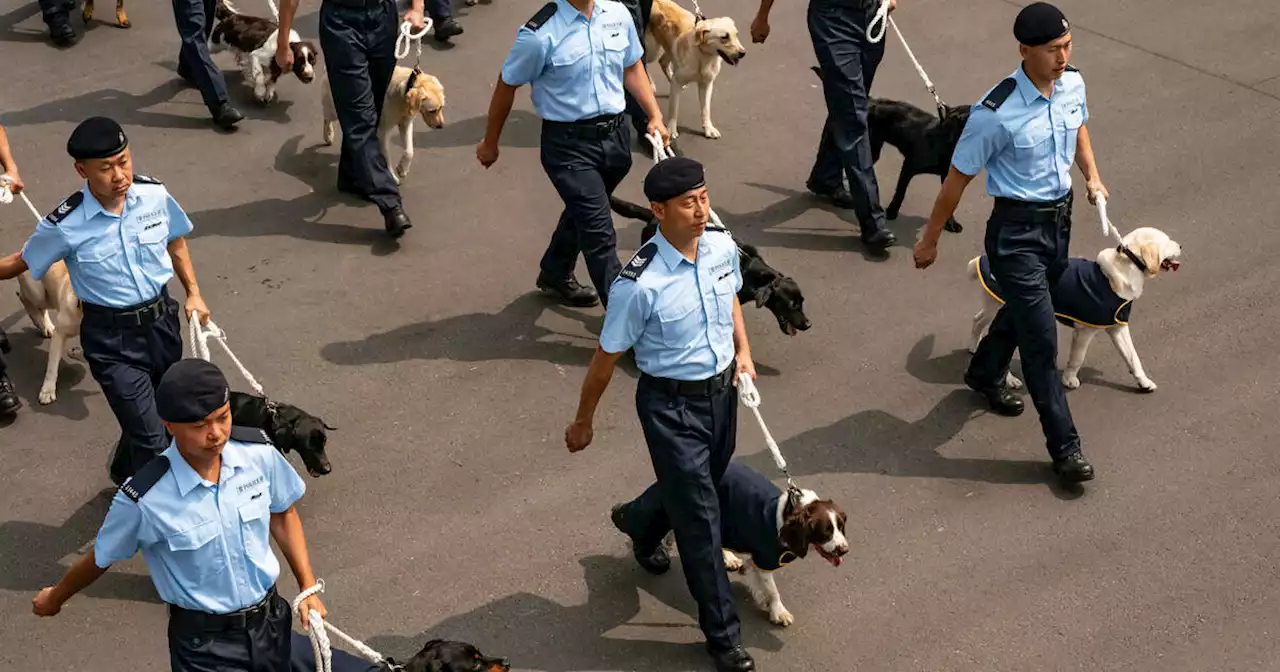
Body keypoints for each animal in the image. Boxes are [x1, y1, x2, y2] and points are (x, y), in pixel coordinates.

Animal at [15, 259, 83, 401]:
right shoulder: (60, 334)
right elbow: (52, 366)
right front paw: (47, 390)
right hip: (37, 293)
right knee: (24, 297)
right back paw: (39, 321)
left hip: (50, 296)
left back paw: (46, 326)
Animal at [645, 0, 747, 138]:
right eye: (724, 37)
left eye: (736, 35)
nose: (743, 53)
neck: (703, 57)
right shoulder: (678, 82)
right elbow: (673, 109)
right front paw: (671, 129)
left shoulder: (706, 84)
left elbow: (705, 109)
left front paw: (708, 128)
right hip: (652, 50)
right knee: (643, 61)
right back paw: (650, 84)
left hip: (669, 50)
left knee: (663, 62)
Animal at [808, 65, 967, 232]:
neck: (944, 142)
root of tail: (869, 100)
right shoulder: (909, 166)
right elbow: (900, 192)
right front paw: (891, 211)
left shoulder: (949, 178)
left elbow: (949, 204)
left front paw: (951, 223)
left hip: (874, 148)